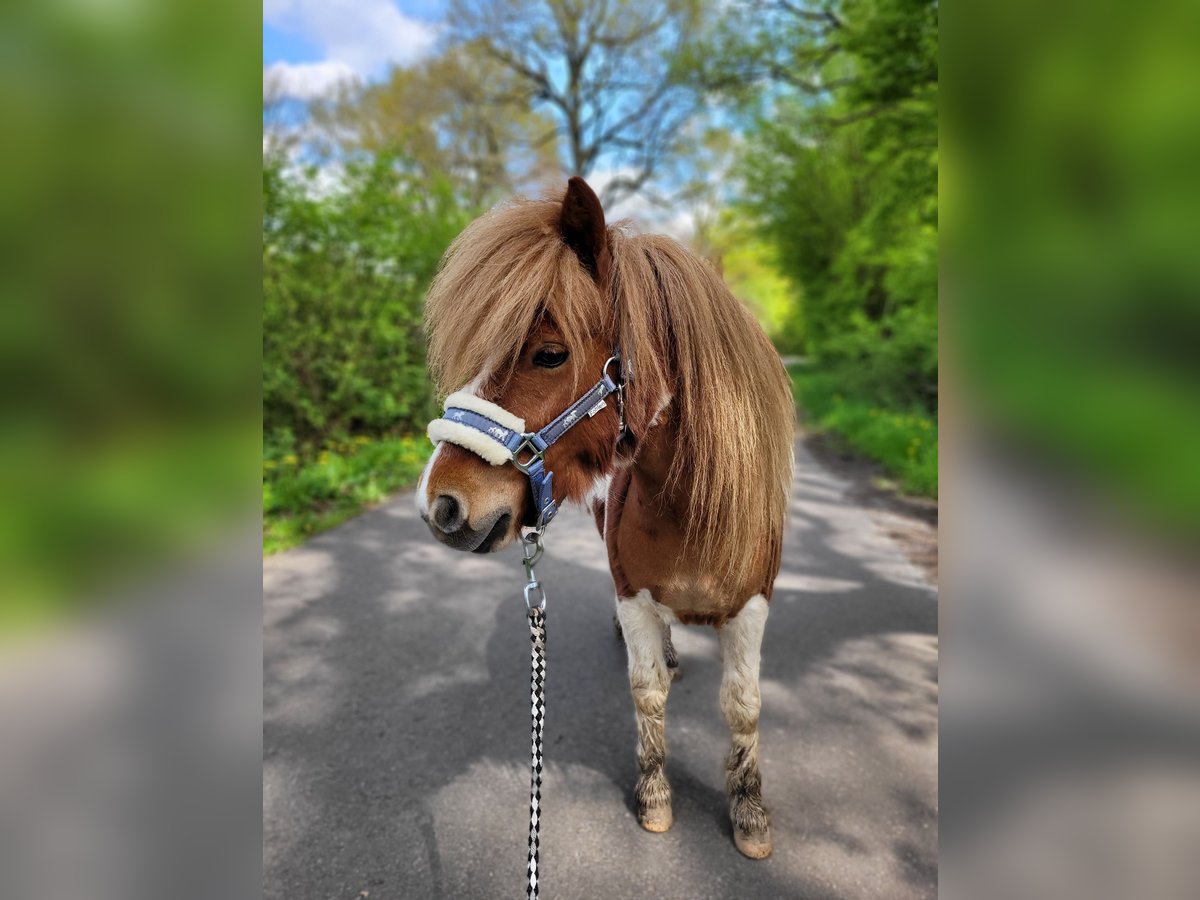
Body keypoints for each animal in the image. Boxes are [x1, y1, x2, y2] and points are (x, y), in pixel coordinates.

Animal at [417, 176, 792, 859]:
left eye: (550, 354)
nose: (442, 505)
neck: (689, 511)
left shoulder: (753, 605)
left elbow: (743, 705)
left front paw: (750, 812)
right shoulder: (634, 597)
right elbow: (647, 694)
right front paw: (654, 797)